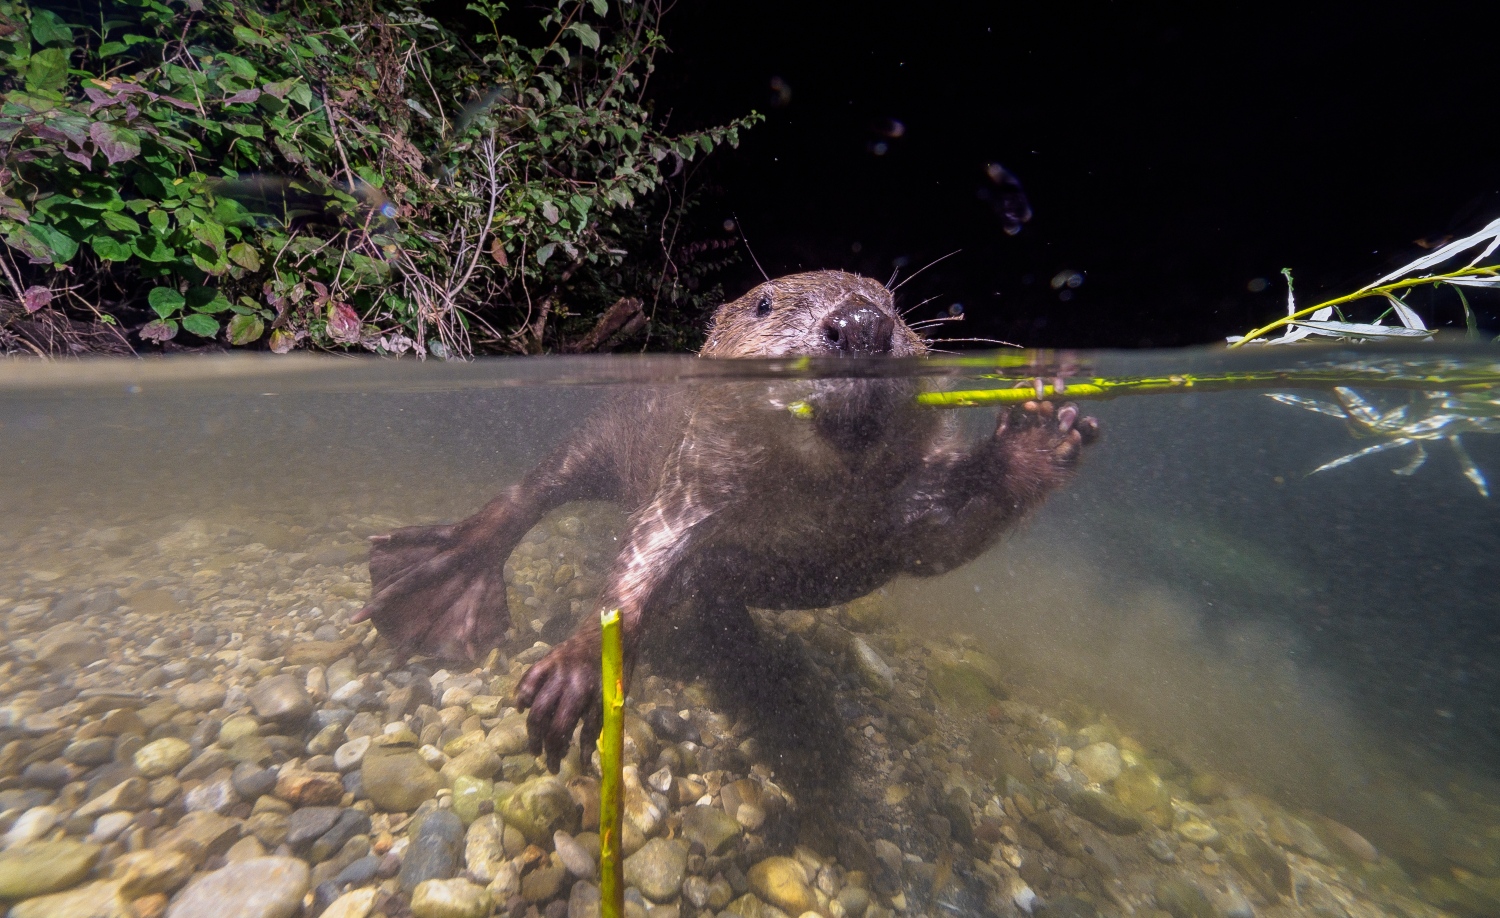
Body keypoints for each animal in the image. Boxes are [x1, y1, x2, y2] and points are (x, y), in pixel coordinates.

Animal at [355, 270, 1098, 768]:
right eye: (766, 304)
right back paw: (427, 584)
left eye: (894, 303)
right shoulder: (692, 473)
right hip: (598, 439)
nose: (861, 325)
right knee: (530, 495)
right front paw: (569, 677)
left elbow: (939, 541)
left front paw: (1043, 430)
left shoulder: (900, 504)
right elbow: (643, 556)